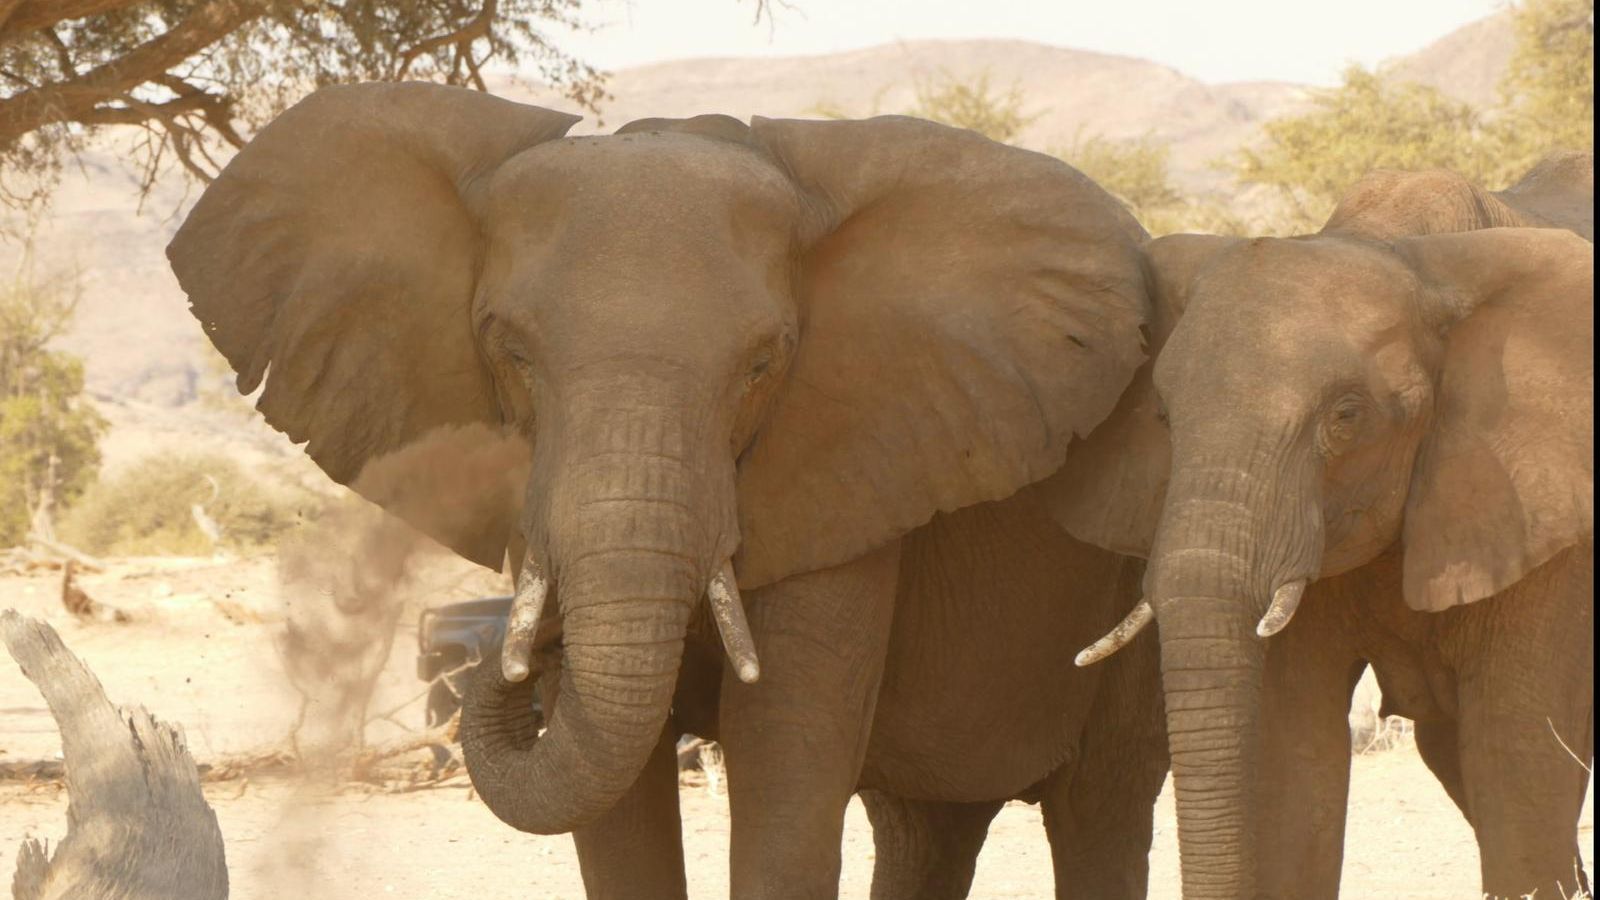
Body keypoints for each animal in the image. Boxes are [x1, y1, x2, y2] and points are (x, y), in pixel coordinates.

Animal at [165, 82, 1160, 897]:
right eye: (507, 349)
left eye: (764, 363)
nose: (494, 646)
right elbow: (614, 819)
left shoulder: (849, 464)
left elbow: (784, 769)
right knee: (928, 828)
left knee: (1102, 811)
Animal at [1049, 150, 1594, 899]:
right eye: (1163, 415)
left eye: (1346, 416)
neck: (1406, 255)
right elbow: (1292, 762)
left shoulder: (1550, 514)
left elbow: (1516, 761)